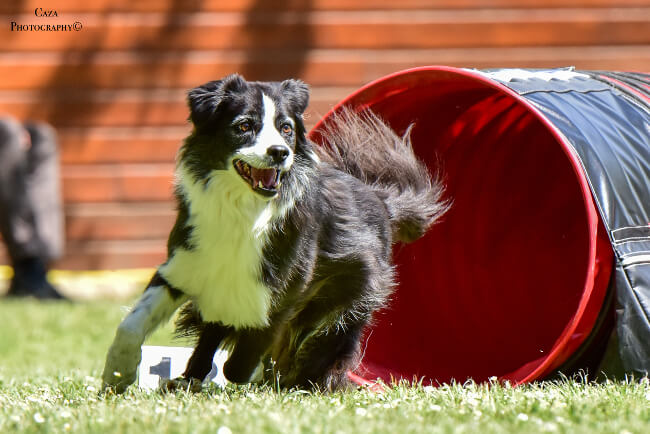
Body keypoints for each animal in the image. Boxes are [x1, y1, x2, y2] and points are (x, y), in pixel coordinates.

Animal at [101, 74, 446, 394]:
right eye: (243, 126)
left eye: (286, 129)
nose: (279, 152)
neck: (242, 207)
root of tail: (381, 199)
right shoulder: (187, 262)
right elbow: (132, 323)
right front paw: (117, 375)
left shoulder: (284, 286)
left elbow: (244, 356)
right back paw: (188, 379)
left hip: (351, 292)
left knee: (322, 340)